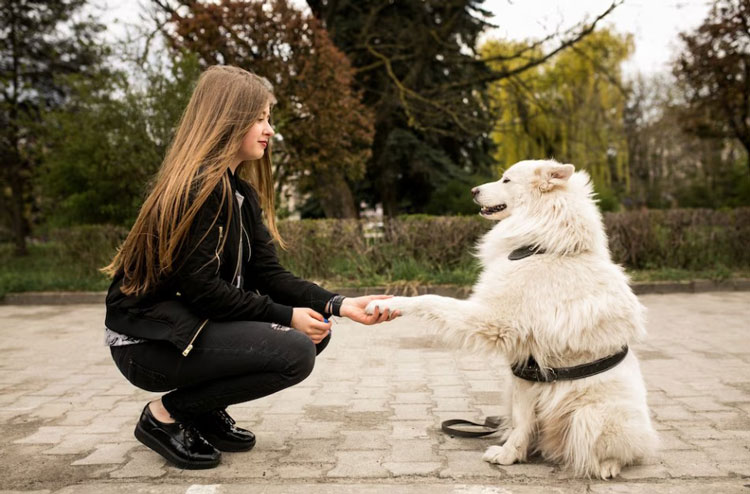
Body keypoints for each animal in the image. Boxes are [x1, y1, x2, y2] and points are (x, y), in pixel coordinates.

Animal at [368, 159, 656, 478]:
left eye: (506, 180)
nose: (473, 190)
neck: (542, 248)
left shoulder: (493, 319)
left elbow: (431, 300)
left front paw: (388, 303)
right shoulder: (523, 374)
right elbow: (522, 421)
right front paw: (510, 455)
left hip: (588, 415)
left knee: (620, 452)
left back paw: (607, 466)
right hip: (516, 389)